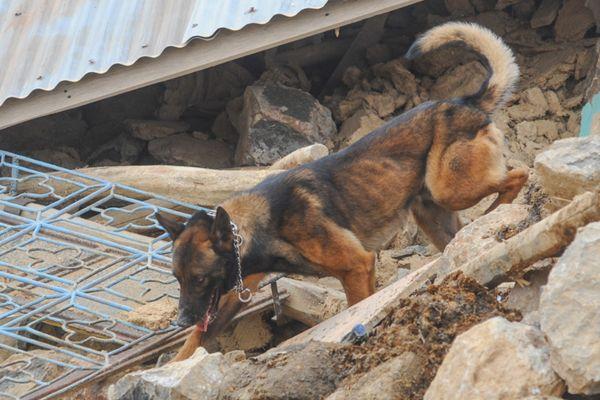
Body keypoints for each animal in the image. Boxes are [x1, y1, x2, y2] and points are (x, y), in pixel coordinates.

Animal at [157, 23, 528, 364]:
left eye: (200, 278)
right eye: (178, 278)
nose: (180, 320)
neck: (258, 225)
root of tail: (465, 102)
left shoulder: (357, 267)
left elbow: (357, 308)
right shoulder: (236, 292)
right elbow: (198, 337)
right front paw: (171, 366)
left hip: (450, 188)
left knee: (517, 175)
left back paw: (494, 213)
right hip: (432, 214)